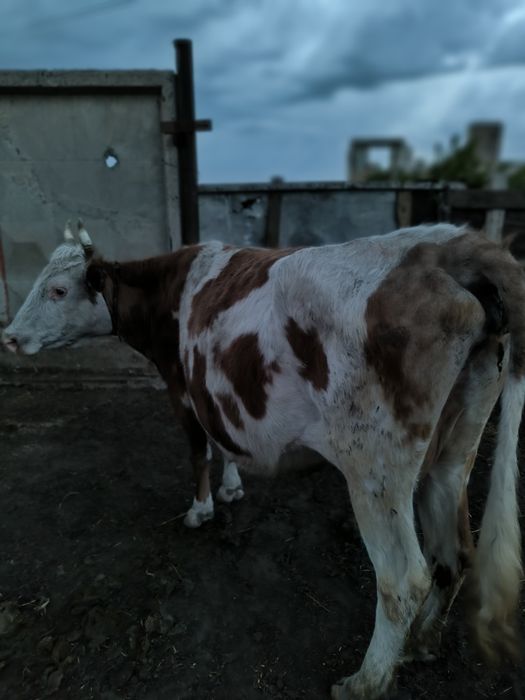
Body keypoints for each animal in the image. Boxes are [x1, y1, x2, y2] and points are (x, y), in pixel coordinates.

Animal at [2, 219, 525, 699]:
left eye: (57, 289)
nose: (8, 336)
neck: (167, 289)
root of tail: (449, 245)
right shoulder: (211, 392)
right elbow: (222, 442)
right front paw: (232, 487)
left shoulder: (181, 389)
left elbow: (197, 451)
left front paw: (200, 510)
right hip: (454, 451)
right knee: (454, 553)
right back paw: (422, 644)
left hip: (374, 469)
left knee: (403, 578)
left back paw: (366, 681)